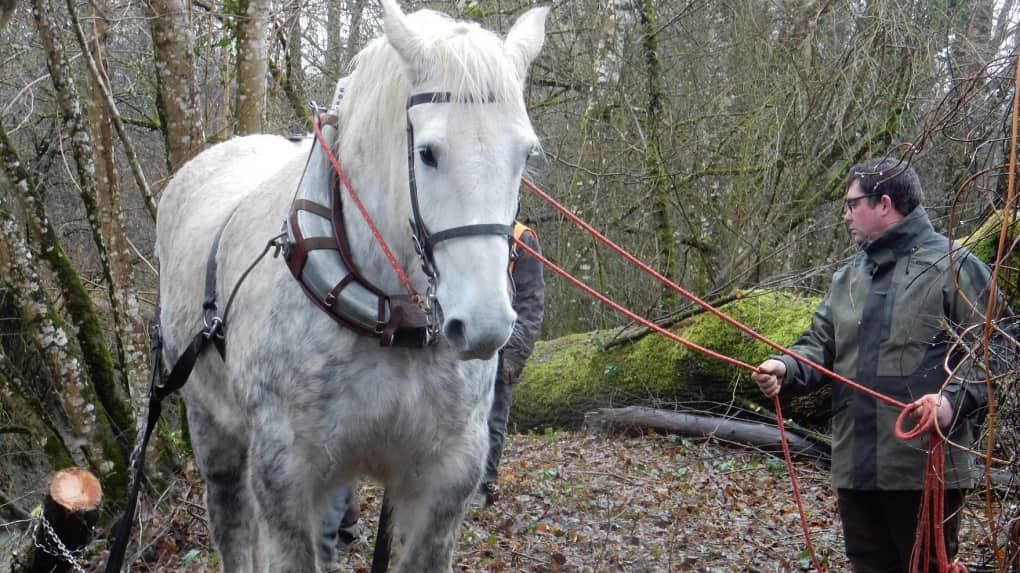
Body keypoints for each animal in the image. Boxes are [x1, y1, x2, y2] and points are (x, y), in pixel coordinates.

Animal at [154, 2, 546, 566]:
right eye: (428, 153)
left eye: (526, 154)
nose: (484, 325)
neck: (391, 320)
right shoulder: (286, 478)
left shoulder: (445, 482)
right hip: (212, 425)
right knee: (232, 526)